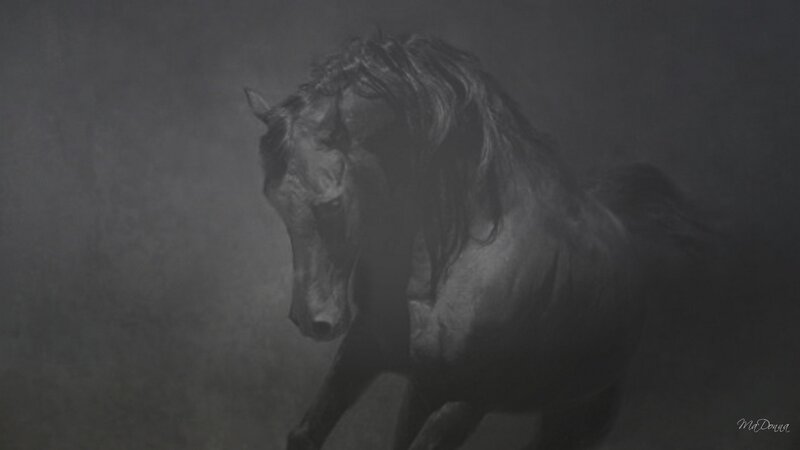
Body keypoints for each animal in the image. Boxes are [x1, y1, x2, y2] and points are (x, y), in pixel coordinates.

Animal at [245, 34, 707, 449]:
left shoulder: (469, 401)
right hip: (425, 392)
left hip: (575, 418)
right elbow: (306, 433)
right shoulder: (366, 350)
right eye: (274, 200)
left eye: (333, 203)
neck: (454, 260)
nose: (312, 321)